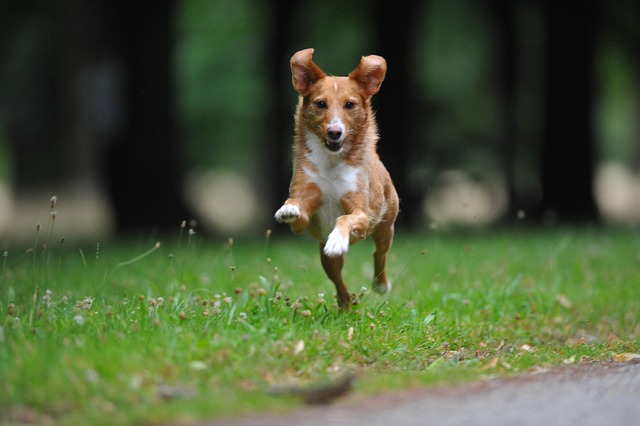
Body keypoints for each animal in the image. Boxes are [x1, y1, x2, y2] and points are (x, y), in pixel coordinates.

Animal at [272, 49, 398, 310]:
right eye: (321, 104)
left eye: (350, 104)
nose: (334, 132)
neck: (331, 163)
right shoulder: (305, 213)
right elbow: (297, 208)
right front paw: (288, 208)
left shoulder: (361, 213)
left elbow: (345, 218)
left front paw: (338, 239)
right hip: (327, 260)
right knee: (339, 282)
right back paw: (345, 305)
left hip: (385, 227)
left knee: (379, 253)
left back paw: (380, 284)